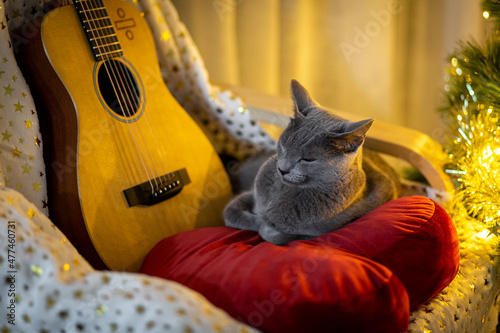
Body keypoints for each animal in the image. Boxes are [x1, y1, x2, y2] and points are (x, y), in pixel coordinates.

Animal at [225, 78, 400, 244]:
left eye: (308, 159)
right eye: (283, 146)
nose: (283, 169)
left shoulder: (326, 230)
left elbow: (277, 235)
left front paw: (266, 224)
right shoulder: (250, 194)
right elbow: (229, 212)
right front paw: (259, 219)